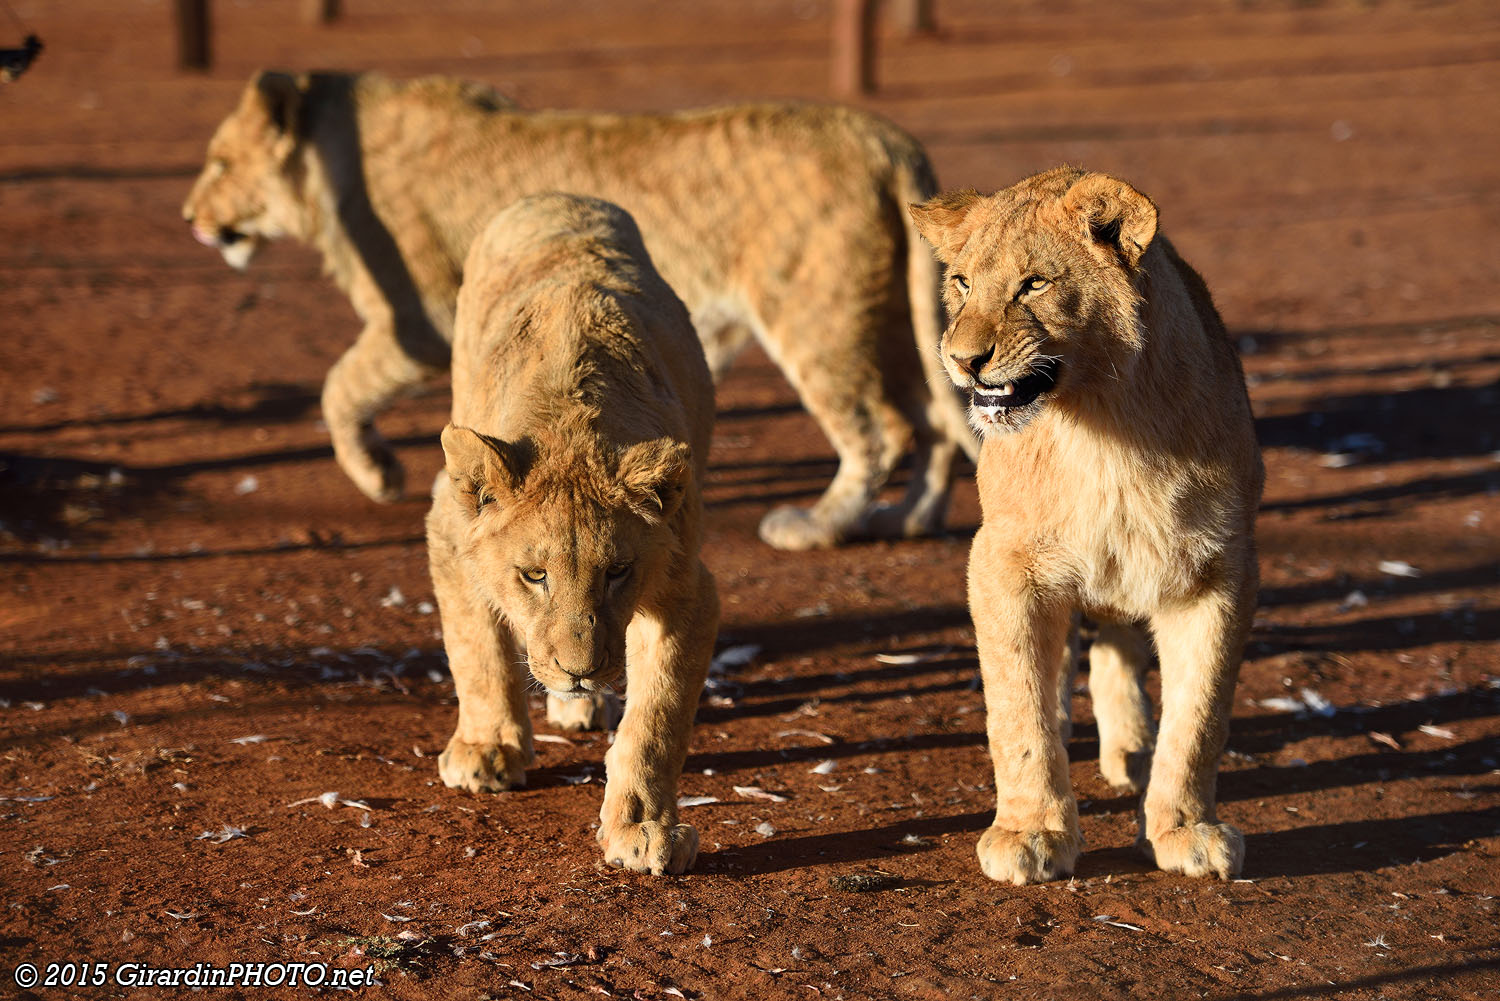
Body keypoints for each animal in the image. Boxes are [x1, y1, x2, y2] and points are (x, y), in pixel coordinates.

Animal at [182, 70, 977, 551]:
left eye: (220, 163)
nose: (190, 218)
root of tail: (885, 139)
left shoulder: (419, 321)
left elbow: (337, 387)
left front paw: (378, 474)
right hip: (897, 321)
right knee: (937, 420)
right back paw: (911, 518)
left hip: (815, 315)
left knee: (878, 429)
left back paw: (815, 525)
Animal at [426, 193, 718, 874]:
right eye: (534, 575)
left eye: (617, 572)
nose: (580, 670)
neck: (569, 424)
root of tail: (559, 195)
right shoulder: (449, 535)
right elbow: (478, 652)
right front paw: (486, 751)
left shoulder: (686, 587)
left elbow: (657, 716)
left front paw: (642, 829)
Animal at [910, 167, 1264, 884]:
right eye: (961, 282)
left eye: (1033, 284)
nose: (961, 359)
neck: (1101, 432)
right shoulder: (1002, 563)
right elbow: (1018, 708)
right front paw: (1030, 832)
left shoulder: (1220, 571)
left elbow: (1200, 717)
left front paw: (1186, 830)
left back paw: (1131, 752)